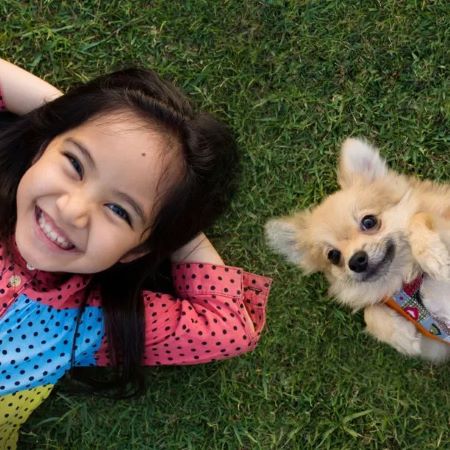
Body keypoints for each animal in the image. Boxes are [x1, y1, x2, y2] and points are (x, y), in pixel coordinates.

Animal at [266, 138, 450, 362]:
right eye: (333, 255)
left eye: (369, 222)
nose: (356, 260)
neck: (406, 281)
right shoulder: (436, 340)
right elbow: (370, 312)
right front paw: (400, 336)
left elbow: (419, 216)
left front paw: (433, 256)